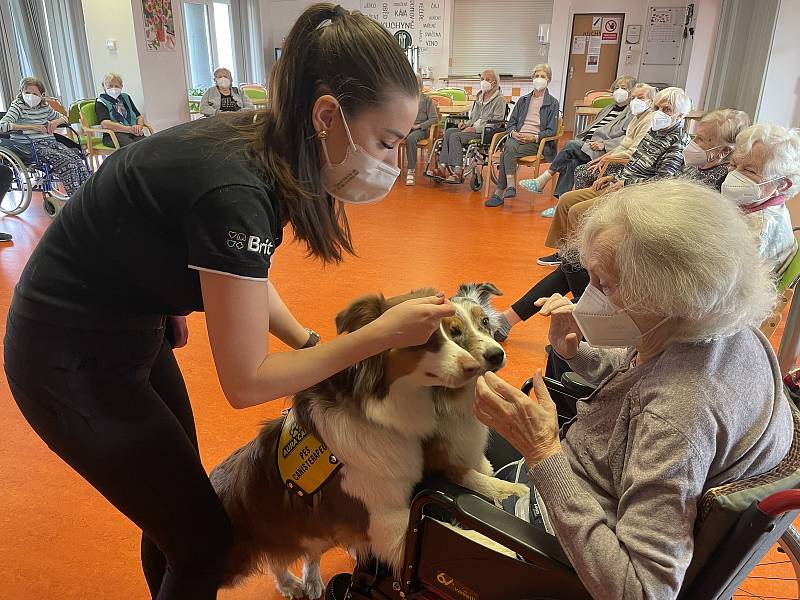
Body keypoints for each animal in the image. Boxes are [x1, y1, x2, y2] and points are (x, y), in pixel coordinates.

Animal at [212, 284, 520, 596]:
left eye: (484, 323)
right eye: (442, 332)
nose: (489, 359)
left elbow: (486, 477)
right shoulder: (386, 520)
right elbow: (462, 535)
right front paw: (505, 550)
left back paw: (310, 581)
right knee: (278, 557)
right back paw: (290, 584)